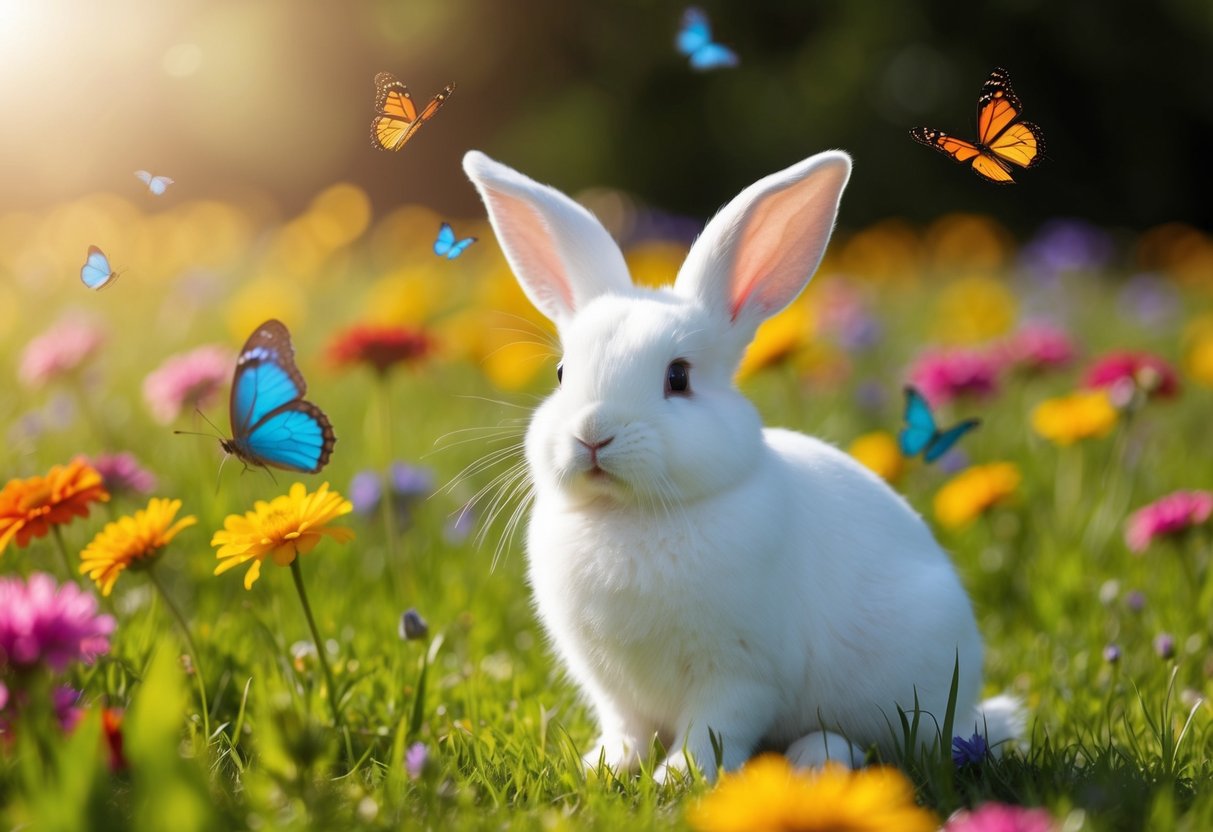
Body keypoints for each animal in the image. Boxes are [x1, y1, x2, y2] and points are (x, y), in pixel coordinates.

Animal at [462, 149, 1022, 783]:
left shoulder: (739, 676)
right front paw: (604, 768)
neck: (630, 516)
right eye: (561, 374)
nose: (592, 435)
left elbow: (714, 732)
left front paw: (678, 778)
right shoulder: (612, 688)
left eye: (678, 377)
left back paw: (815, 760)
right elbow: (625, 728)